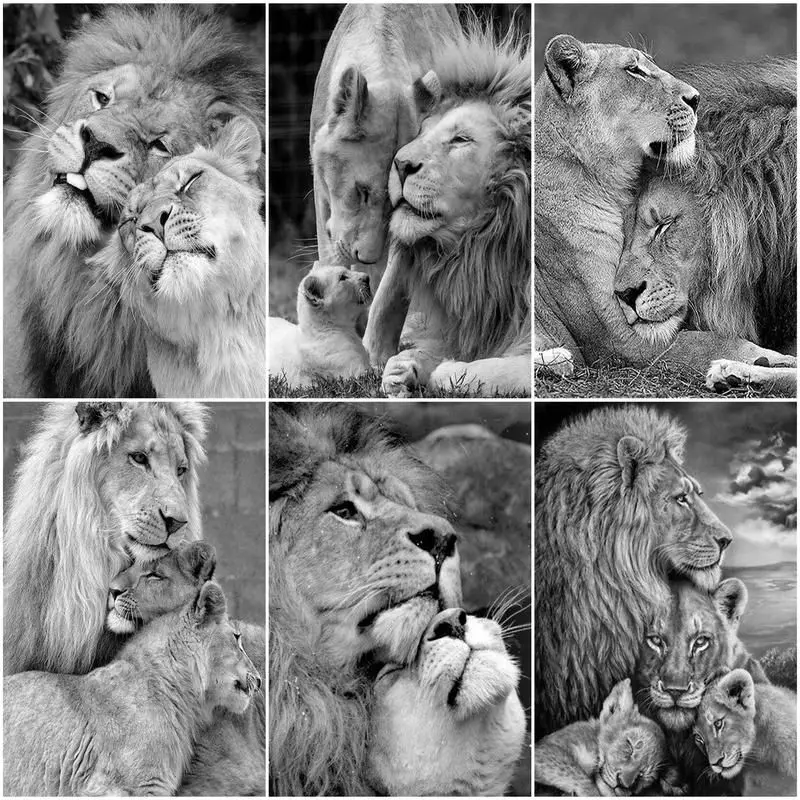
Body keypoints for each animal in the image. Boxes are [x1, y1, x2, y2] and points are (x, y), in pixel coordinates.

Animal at [363, 22, 531, 397]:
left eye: (460, 140)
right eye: (422, 131)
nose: (400, 164)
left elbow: (485, 370)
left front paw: (444, 370)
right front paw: (402, 370)